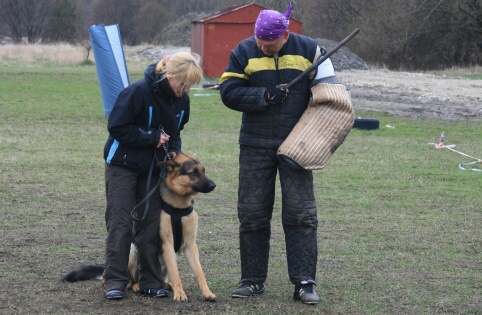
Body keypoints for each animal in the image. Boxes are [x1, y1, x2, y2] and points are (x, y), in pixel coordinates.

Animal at [61, 154, 216, 302]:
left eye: (203, 171)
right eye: (193, 173)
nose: (213, 185)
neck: (178, 207)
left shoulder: (190, 246)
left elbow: (200, 273)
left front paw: (207, 293)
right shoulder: (168, 245)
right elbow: (176, 274)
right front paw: (180, 294)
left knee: (162, 279)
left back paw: (165, 285)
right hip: (132, 252)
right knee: (131, 281)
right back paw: (138, 286)